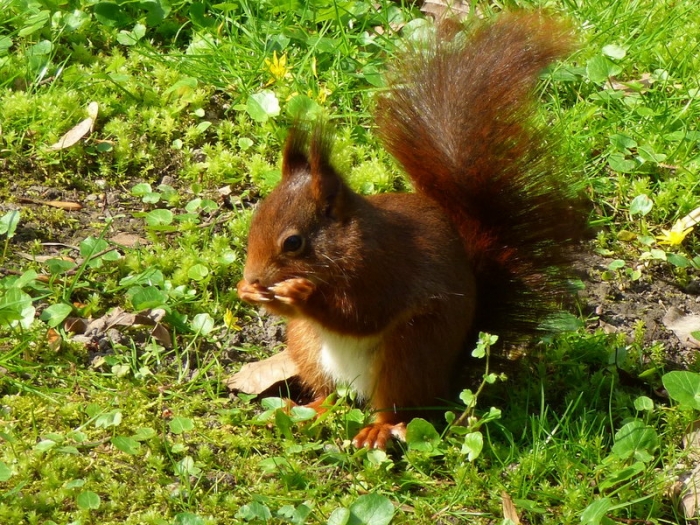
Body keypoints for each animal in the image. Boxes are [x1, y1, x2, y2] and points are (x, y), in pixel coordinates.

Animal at [237, 13, 586, 449]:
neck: (350, 242)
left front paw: (300, 293)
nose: (254, 277)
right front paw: (247, 291)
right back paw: (303, 410)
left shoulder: (386, 269)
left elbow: (361, 316)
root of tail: (449, 372)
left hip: (411, 349)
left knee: (397, 408)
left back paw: (378, 430)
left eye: (294, 243)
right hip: (307, 345)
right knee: (332, 397)